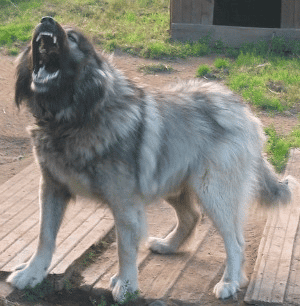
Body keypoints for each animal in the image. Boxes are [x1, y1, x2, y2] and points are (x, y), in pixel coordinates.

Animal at [7, 16, 298, 302]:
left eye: (73, 37)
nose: (46, 20)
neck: (71, 118)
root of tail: (242, 109)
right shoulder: (52, 189)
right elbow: (45, 237)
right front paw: (32, 273)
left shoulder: (124, 203)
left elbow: (124, 248)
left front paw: (126, 286)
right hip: (172, 182)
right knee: (191, 216)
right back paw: (169, 246)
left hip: (213, 192)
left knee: (235, 242)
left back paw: (230, 282)